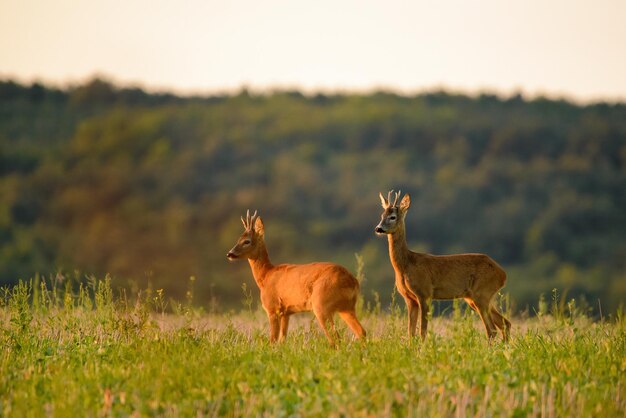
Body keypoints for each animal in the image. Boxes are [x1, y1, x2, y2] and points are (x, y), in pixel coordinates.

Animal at [225, 211, 364, 344]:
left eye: (246, 241)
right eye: (238, 239)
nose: (230, 254)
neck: (265, 276)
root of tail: (352, 281)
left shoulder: (272, 308)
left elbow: (272, 341)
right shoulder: (286, 313)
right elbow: (282, 341)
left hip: (321, 304)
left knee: (336, 338)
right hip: (347, 308)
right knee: (361, 332)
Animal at [372, 191, 510, 342]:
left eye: (393, 217)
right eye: (381, 215)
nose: (378, 228)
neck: (406, 264)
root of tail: (502, 274)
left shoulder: (424, 293)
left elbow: (422, 331)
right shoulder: (409, 299)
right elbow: (411, 333)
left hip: (482, 293)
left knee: (492, 330)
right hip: (477, 297)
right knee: (505, 324)